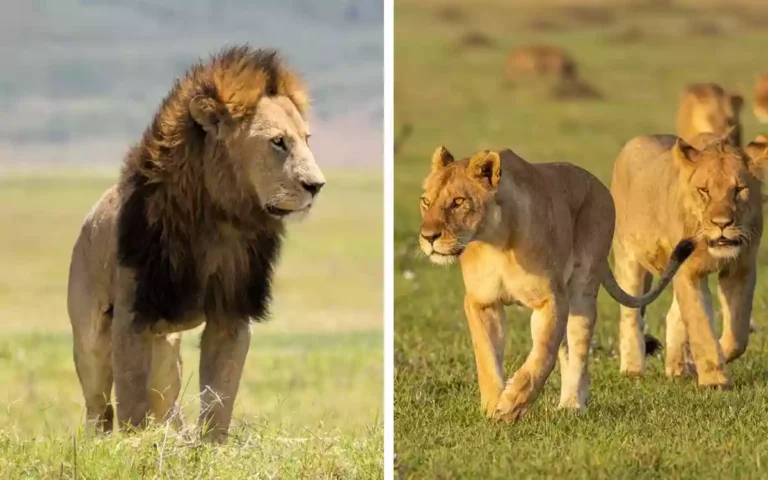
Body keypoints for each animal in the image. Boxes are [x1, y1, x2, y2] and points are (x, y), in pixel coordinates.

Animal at [66, 45, 325, 442]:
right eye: (278, 142)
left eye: (306, 139)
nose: (316, 185)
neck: (220, 219)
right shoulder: (133, 313)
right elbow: (130, 398)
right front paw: (134, 445)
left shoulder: (232, 310)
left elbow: (220, 394)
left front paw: (210, 446)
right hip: (91, 338)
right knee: (100, 407)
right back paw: (101, 442)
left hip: (165, 352)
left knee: (164, 401)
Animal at [418, 147, 693, 421]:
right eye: (426, 202)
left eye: (458, 202)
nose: (428, 237)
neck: (495, 242)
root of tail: (598, 184)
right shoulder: (481, 302)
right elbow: (486, 356)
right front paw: (493, 405)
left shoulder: (551, 299)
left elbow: (542, 356)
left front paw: (512, 404)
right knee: (566, 351)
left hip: (582, 291)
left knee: (578, 350)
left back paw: (572, 404)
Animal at [610, 133, 768, 388]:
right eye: (704, 190)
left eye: (738, 189)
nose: (722, 223)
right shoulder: (688, 272)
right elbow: (700, 325)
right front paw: (714, 380)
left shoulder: (741, 269)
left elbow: (738, 336)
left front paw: (698, 363)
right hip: (628, 256)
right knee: (630, 316)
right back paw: (632, 370)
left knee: (674, 315)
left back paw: (679, 368)